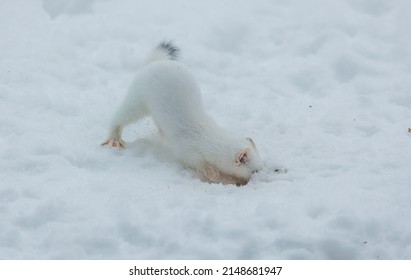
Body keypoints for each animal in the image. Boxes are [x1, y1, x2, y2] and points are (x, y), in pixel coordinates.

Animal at [103, 41, 264, 185]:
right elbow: (200, 165)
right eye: (254, 170)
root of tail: (156, 62)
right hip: (138, 97)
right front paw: (215, 174)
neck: (205, 136)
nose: (260, 176)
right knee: (120, 116)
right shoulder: (186, 151)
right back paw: (114, 139)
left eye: (261, 165)